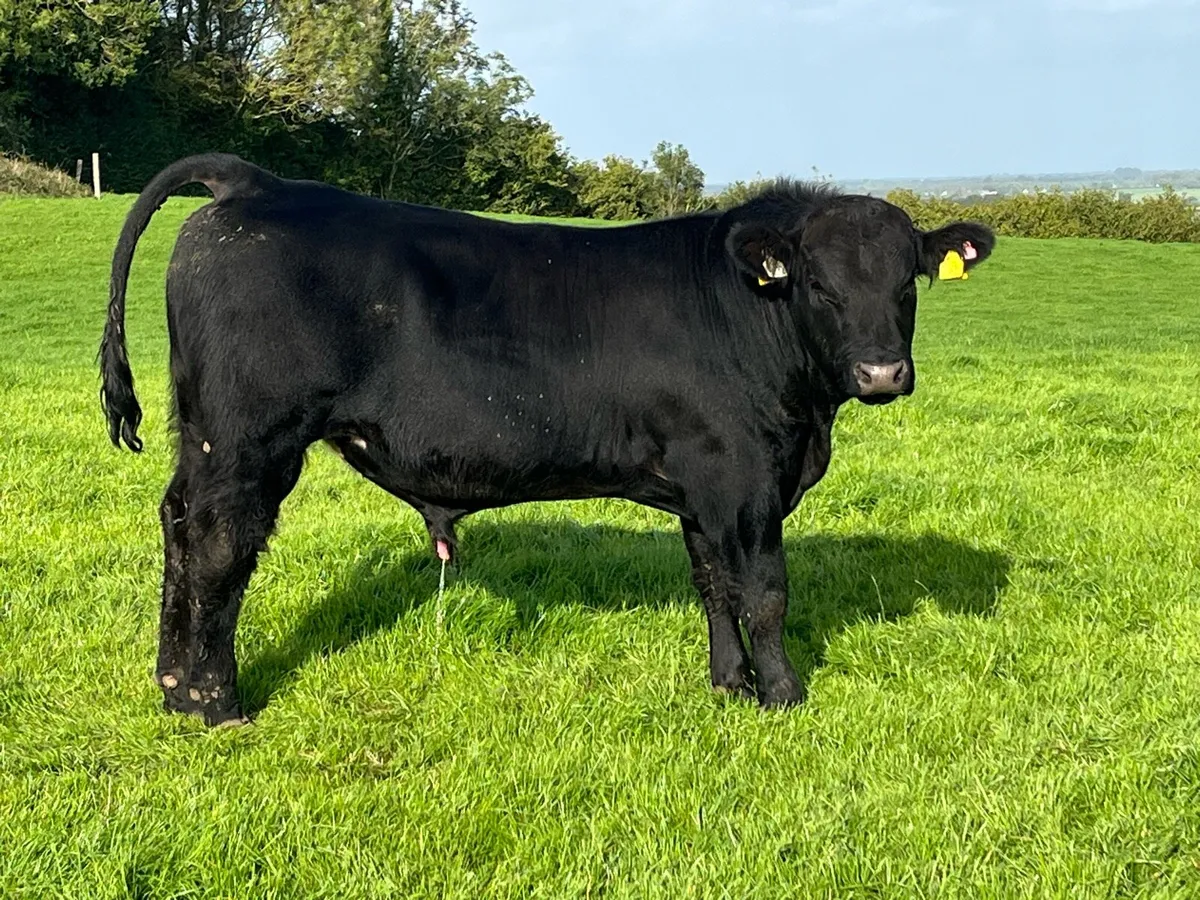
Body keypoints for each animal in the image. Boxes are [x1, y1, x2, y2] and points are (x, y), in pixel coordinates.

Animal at [100, 154, 994, 727]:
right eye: (816, 282)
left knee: (178, 528)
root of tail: (260, 183)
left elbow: (714, 587)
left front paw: (729, 687)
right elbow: (766, 592)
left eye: (907, 281)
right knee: (219, 546)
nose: (882, 372)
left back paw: (172, 687)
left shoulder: (702, 492)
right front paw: (784, 696)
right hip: (249, 439)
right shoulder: (742, 480)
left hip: (203, 435)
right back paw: (215, 703)